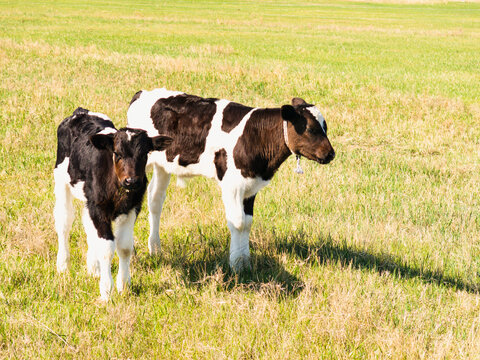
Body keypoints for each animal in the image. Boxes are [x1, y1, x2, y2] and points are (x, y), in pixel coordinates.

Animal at [54, 107, 172, 300]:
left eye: (144, 154)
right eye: (117, 153)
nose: (131, 181)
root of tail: (81, 112)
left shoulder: (132, 208)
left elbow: (124, 246)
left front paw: (123, 286)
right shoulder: (99, 208)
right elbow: (107, 247)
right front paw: (106, 290)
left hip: (88, 199)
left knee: (87, 224)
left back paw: (93, 267)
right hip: (61, 180)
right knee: (64, 222)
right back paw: (63, 265)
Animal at [126, 88, 334, 272]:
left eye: (325, 127)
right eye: (311, 128)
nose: (331, 154)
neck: (255, 136)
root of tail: (142, 93)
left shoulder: (251, 185)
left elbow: (247, 223)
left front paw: (245, 262)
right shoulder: (231, 185)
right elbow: (238, 222)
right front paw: (236, 265)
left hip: (163, 165)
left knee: (155, 200)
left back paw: (155, 249)